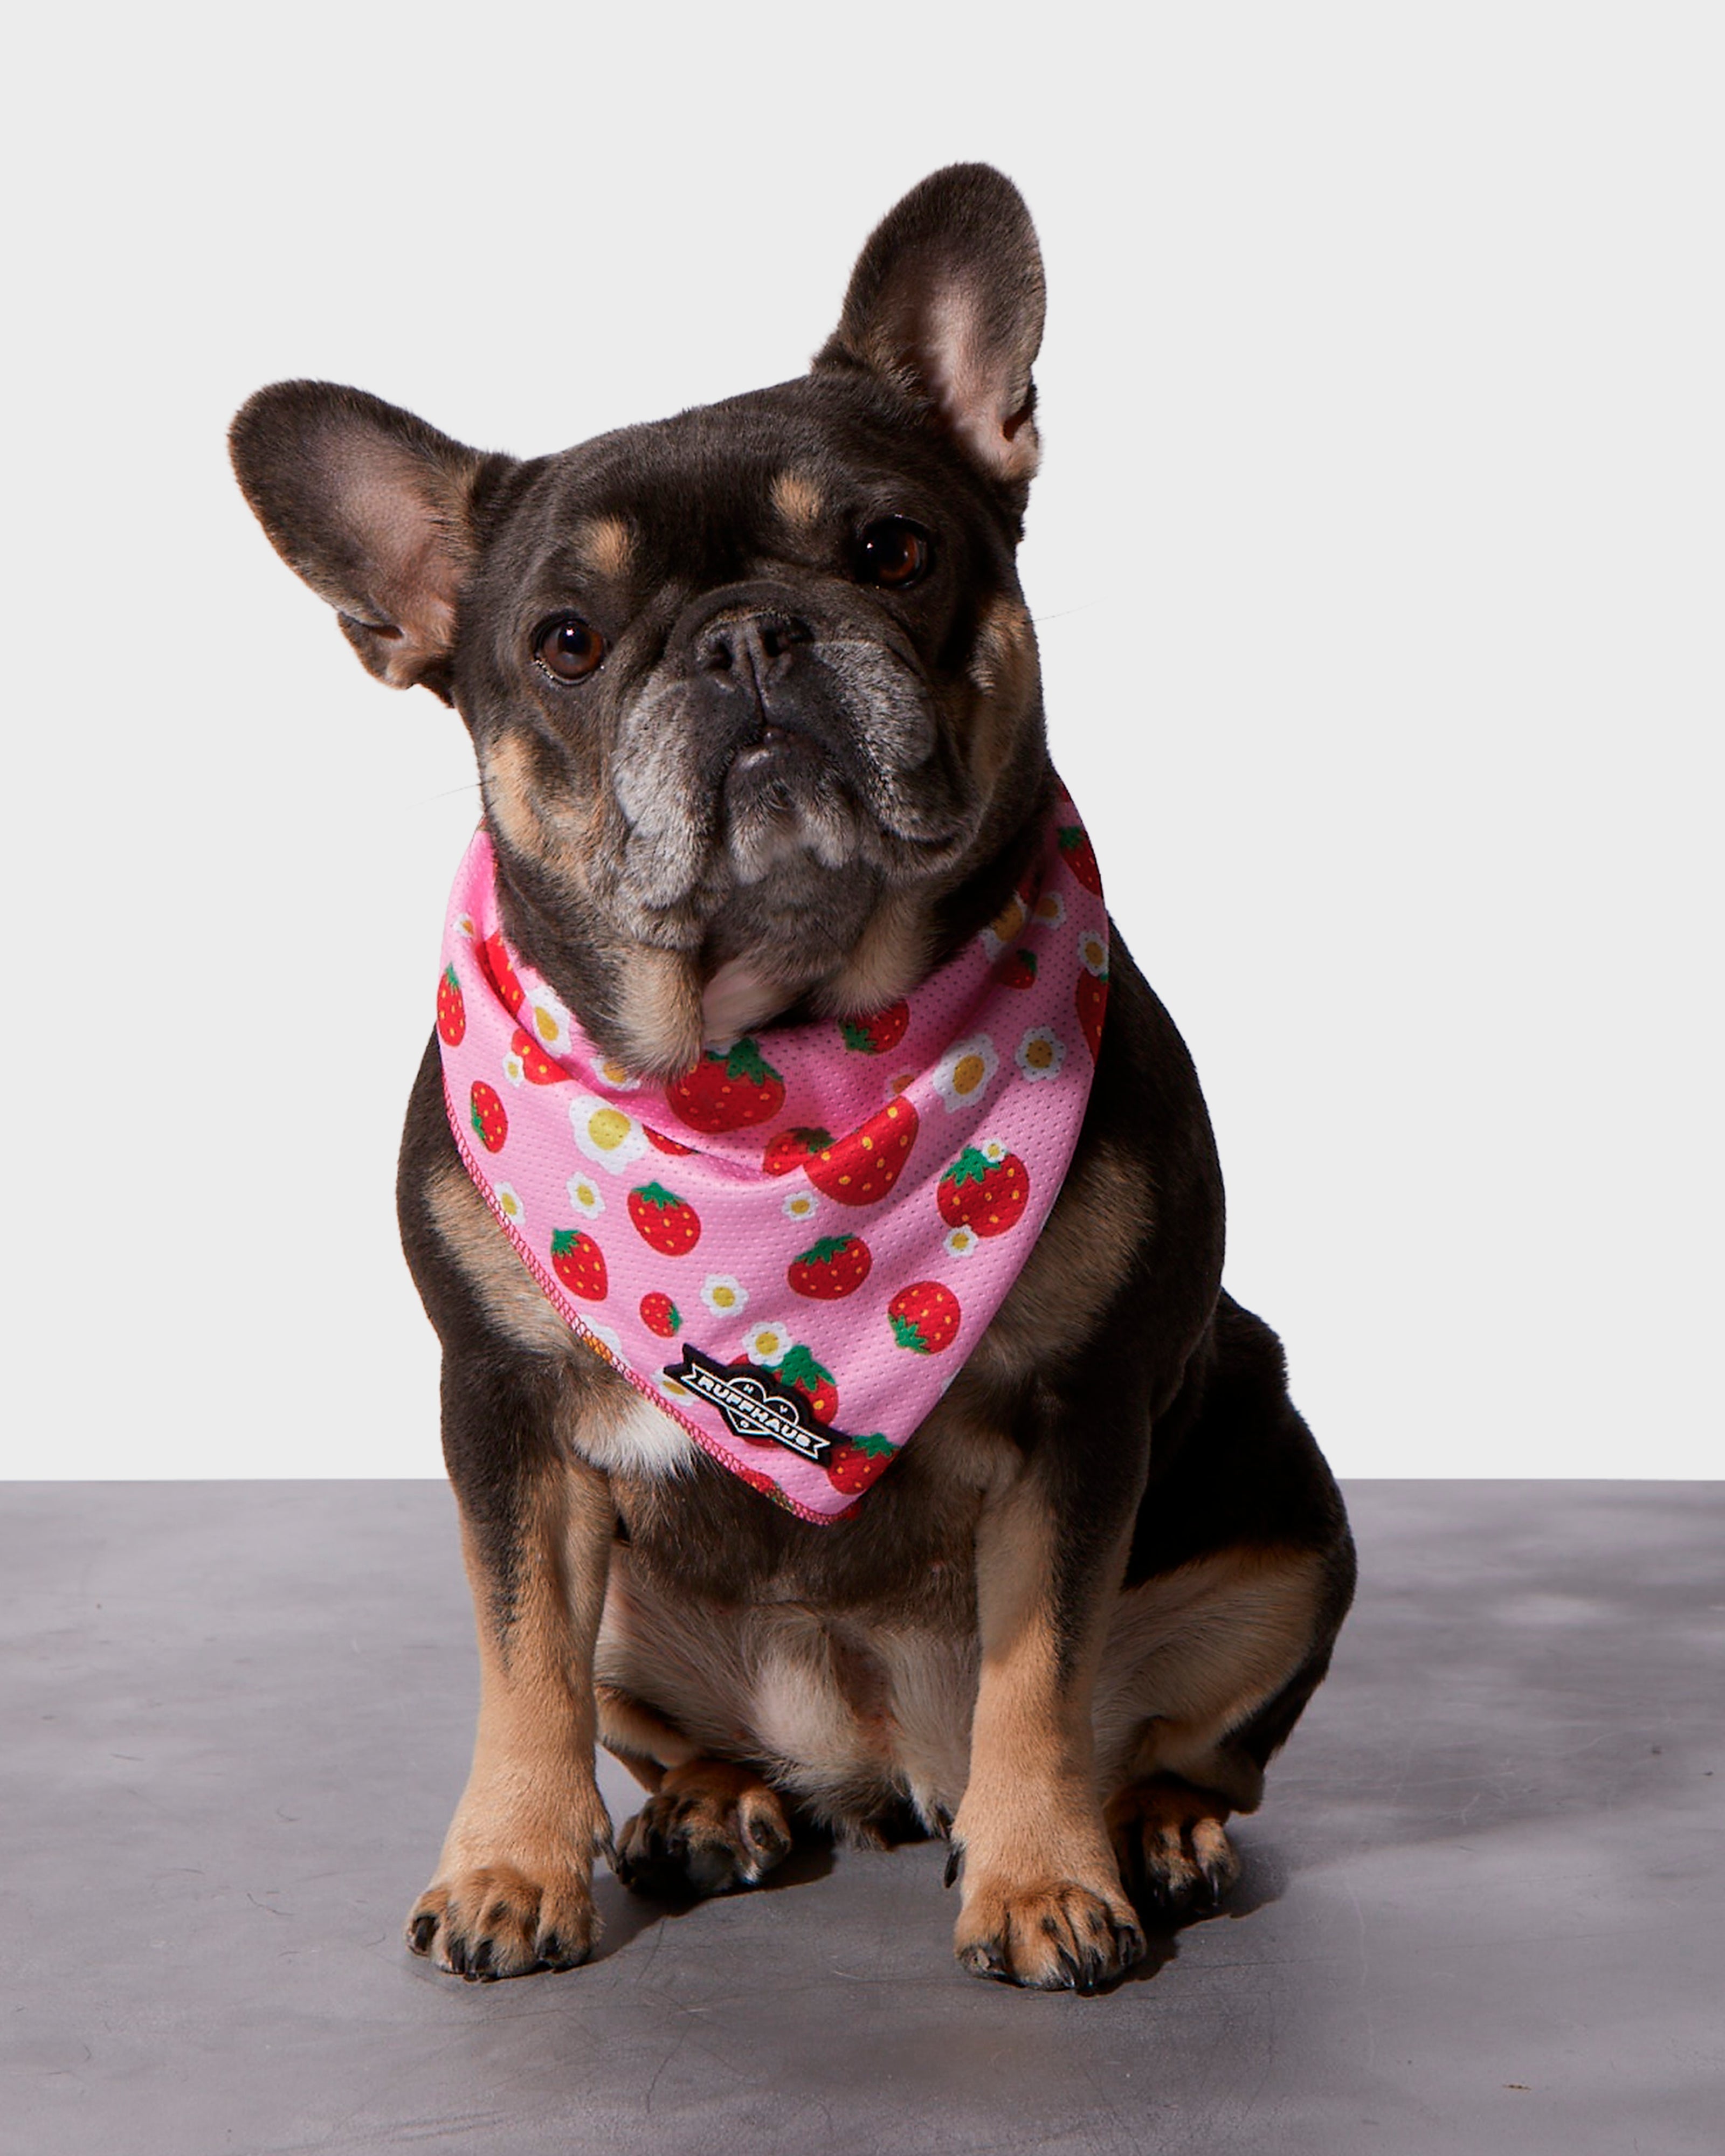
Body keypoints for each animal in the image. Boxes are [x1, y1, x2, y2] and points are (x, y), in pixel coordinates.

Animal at [229, 164, 1354, 1984]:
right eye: (564, 639)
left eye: (892, 548)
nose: (747, 636)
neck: (779, 1056)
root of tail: (880, 1764)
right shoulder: (504, 1422)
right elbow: (520, 1661)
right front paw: (509, 1865)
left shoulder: (1082, 1418)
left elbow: (1043, 1675)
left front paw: (1045, 1880)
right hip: (646, 1610)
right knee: (650, 1708)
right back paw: (712, 1803)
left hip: (1284, 1533)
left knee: (1185, 1738)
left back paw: (1151, 1830)